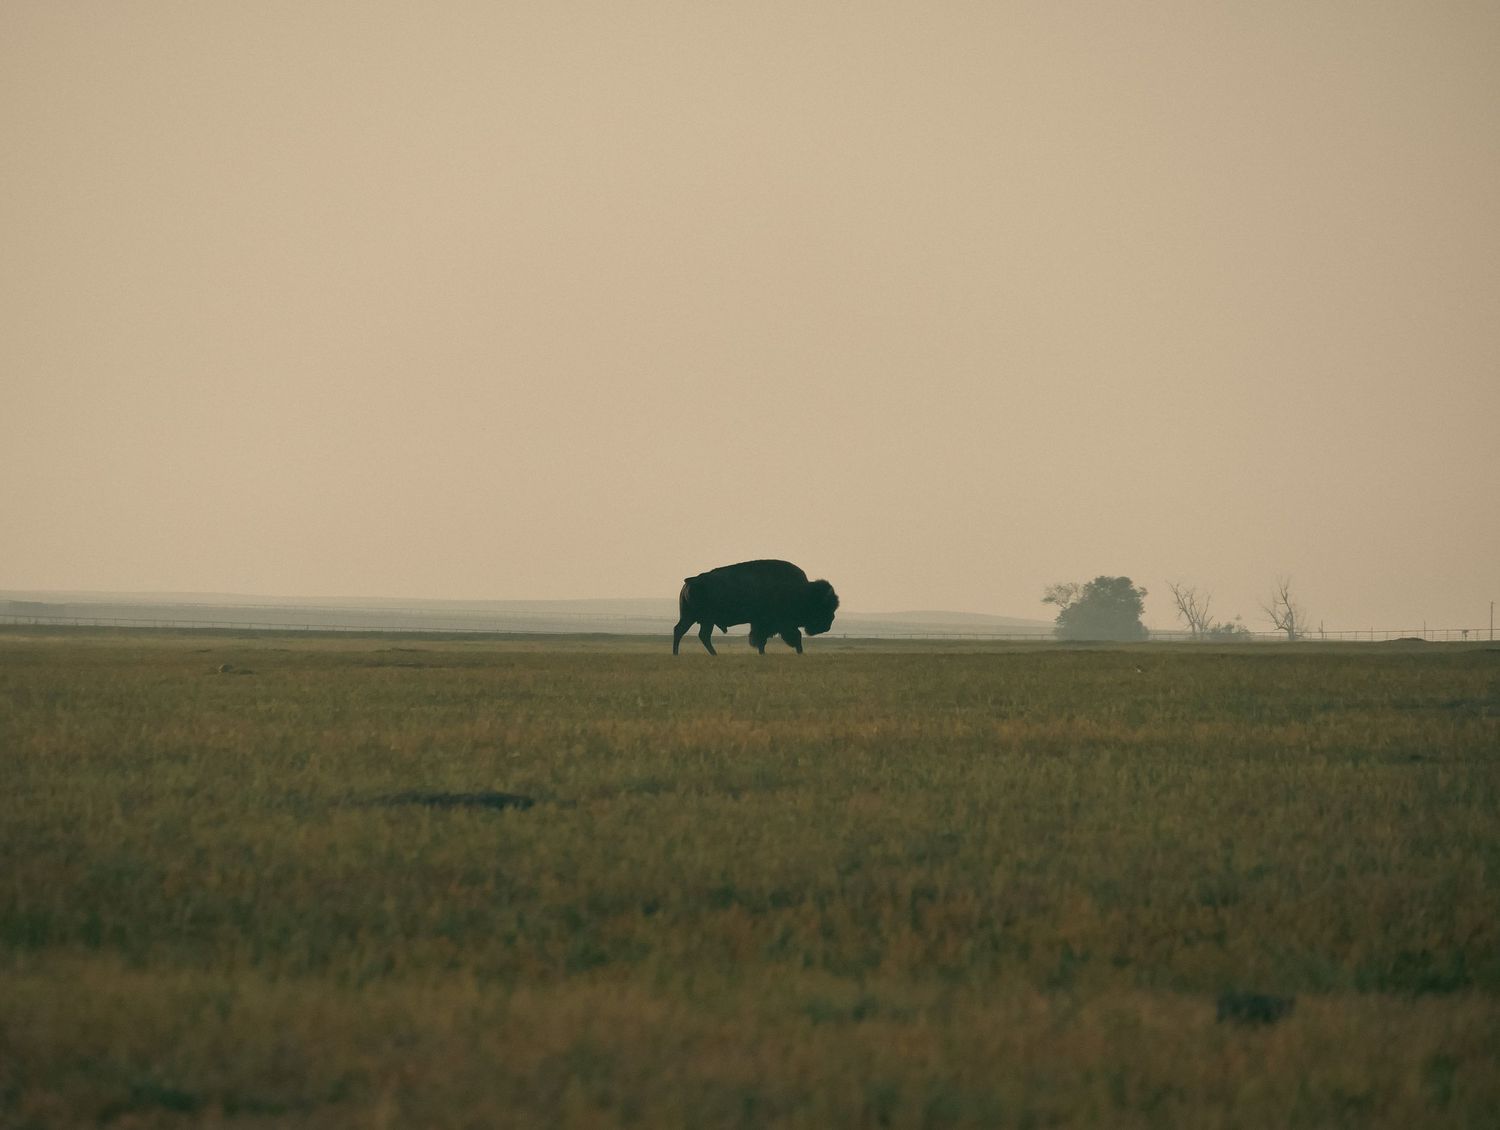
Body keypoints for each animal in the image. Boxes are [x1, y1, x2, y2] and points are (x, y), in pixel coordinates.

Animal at [672, 559, 839, 655]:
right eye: (824, 607)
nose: (828, 625)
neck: (802, 592)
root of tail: (692, 581)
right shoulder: (780, 623)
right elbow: (793, 636)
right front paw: (800, 652)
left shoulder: (762, 623)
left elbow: (761, 639)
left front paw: (763, 653)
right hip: (704, 619)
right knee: (697, 634)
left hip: (693, 617)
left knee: (686, 632)